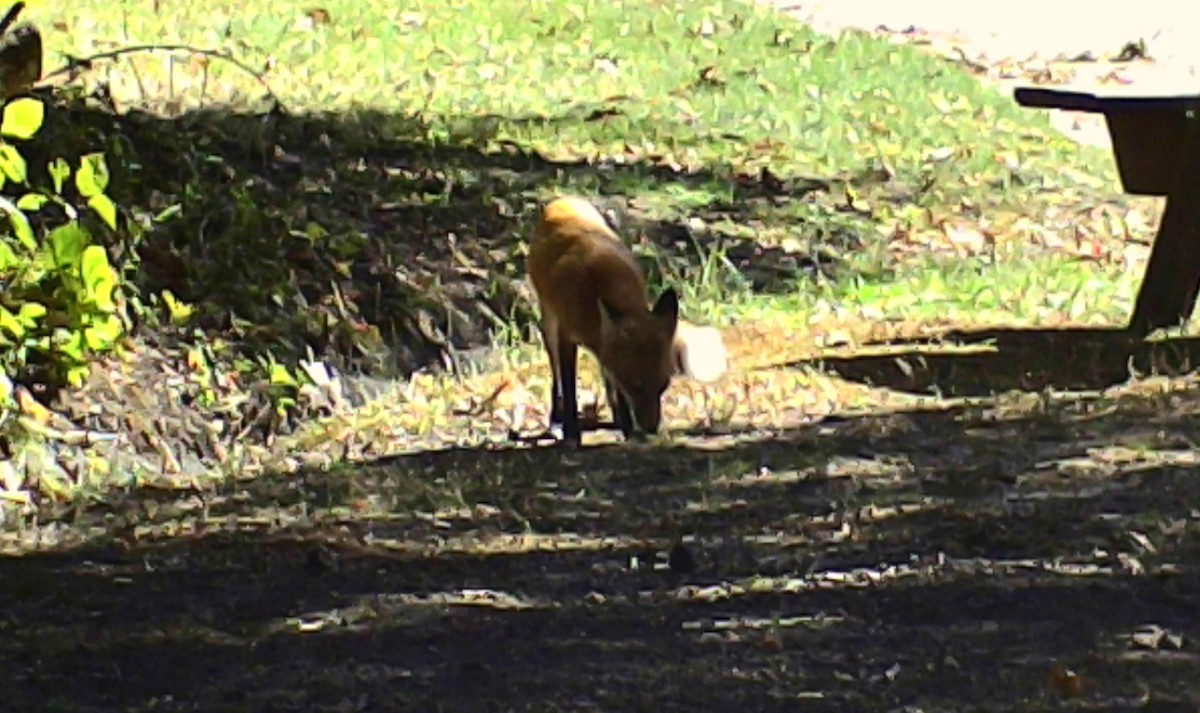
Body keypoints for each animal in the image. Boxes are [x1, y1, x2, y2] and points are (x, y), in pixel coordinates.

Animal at [526, 195, 726, 445]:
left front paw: (628, 427)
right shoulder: (566, 336)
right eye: (637, 385)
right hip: (549, 325)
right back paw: (556, 422)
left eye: (663, 385)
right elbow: (570, 388)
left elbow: (616, 387)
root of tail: (564, 199)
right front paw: (572, 434)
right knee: (557, 380)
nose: (651, 429)